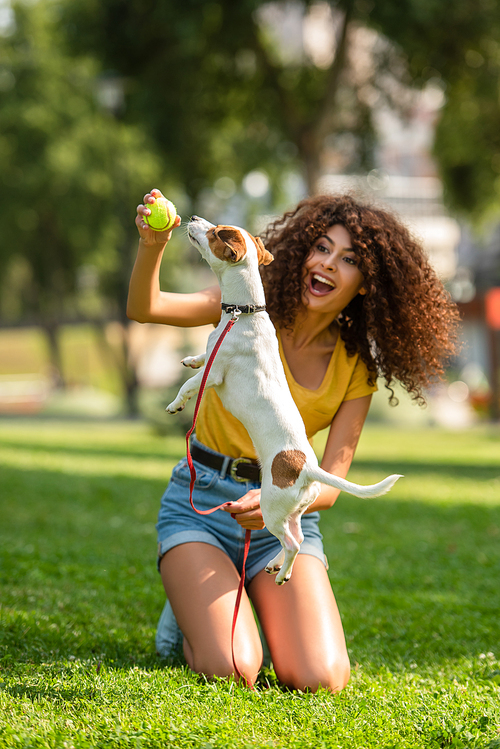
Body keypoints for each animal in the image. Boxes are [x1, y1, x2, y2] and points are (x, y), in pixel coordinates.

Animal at [166, 216, 400, 584]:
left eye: (215, 232)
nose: (193, 219)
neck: (243, 312)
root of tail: (307, 469)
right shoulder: (212, 351)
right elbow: (201, 356)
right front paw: (190, 358)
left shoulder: (215, 373)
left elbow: (191, 385)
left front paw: (175, 404)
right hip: (294, 509)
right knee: (298, 536)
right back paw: (277, 565)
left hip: (270, 506)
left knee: (292, 542)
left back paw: (281, 573)